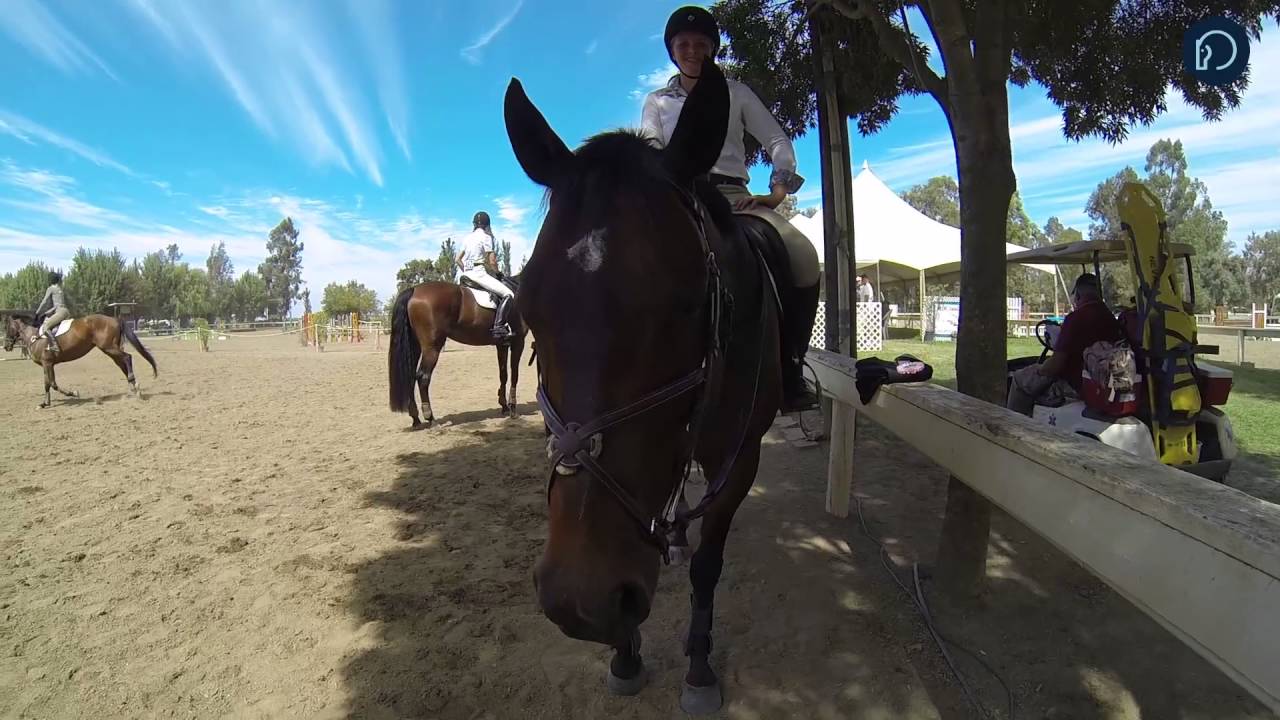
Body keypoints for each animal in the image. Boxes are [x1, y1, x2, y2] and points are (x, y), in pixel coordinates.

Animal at [2, 311, 158, 408]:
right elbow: (47, 384)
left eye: (7, 327)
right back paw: (133, 389)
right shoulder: (47, 364)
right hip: (110, 350)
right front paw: (45, 403)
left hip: (109, 348)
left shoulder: (47, 363)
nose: (6, 346)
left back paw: (135, 386)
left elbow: (52, 384)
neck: (35, 336)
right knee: (122, 363)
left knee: (127, 357)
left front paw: (73, 393)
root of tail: (114, 319)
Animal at [386, 275, 527, 429]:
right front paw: (513, 410)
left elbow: (504, 375)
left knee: (410, 376)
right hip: (432, 348)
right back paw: (431, 419)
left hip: (415, 346)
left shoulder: (501, 345)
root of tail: (414, 290)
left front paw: (504, 407)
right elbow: (515, 375)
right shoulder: (518, 342)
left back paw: (416, 419)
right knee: (423, 377)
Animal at [504, 58, 782, 714]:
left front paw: (700, 668)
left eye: (687, 305)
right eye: (528, 307)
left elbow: (708, 565)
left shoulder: (742, 460)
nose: (578, 601)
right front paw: (626, 654)